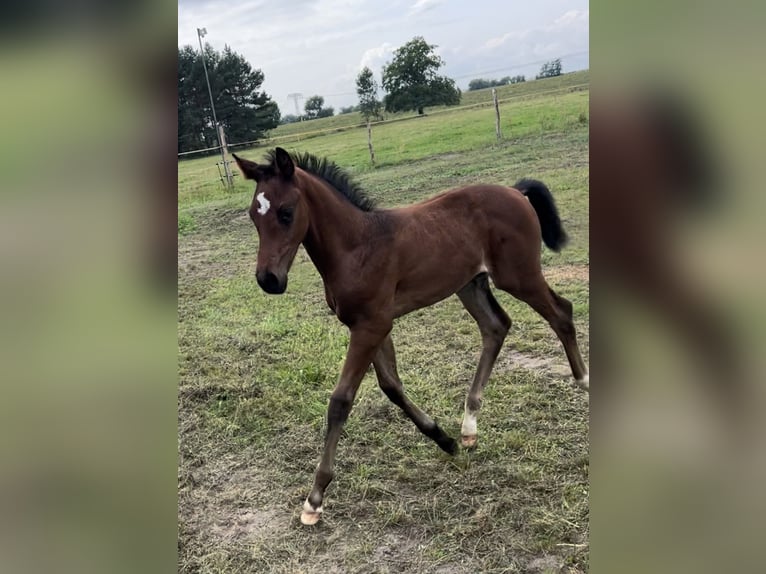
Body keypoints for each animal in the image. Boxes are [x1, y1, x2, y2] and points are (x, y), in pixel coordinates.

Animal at [234, 148, 588, 528]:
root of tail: (514, 191)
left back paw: (583, 381)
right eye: (253, 216)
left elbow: (341, 400)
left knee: (561, 312)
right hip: (470, 283)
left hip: (519, 275)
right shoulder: (369, 325)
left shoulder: (371, 326)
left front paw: (315, 499)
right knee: (496, 326)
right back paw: (468, 426)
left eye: (286, 213)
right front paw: (444, 439)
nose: (268, 280)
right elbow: (391, 385)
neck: (356, 246)